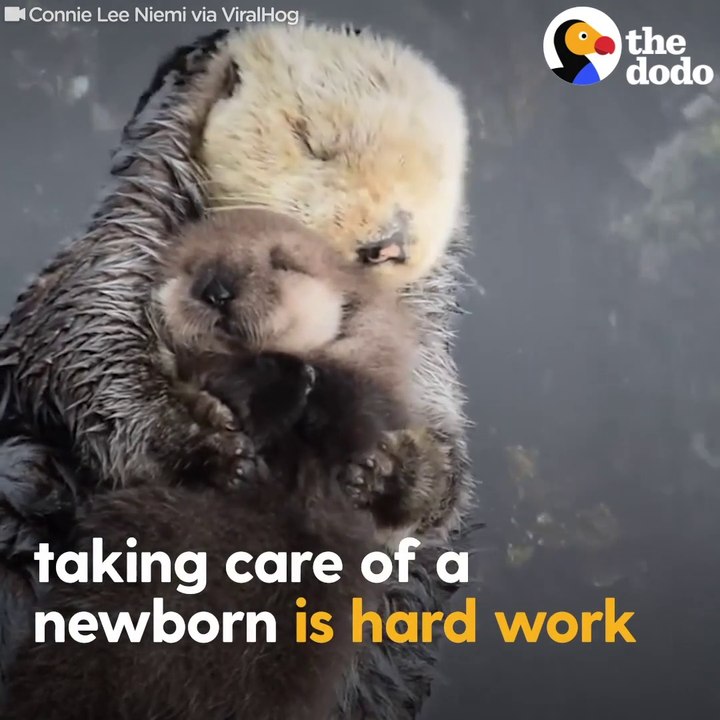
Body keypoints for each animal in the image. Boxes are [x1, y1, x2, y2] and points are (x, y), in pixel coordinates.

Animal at [0, 23, 474, 720]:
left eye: (437, 174)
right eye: (313, 142)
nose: (390, 240)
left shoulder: (422, 339)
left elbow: (440, 446)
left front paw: (394, 467)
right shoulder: (125, 247)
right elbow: (90, 344)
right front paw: (208, 446)